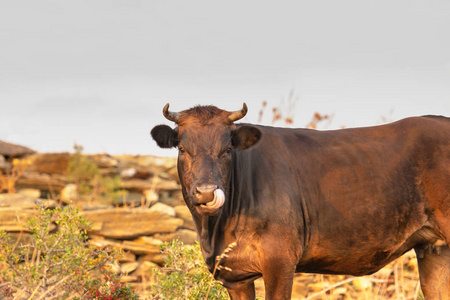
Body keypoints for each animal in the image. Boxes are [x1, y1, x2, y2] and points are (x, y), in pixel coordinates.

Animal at [152, 103, 450, 300]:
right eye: (182, 148)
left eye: (227, 149)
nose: (206, 192)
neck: (216, 232)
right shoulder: (235, 276)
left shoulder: (280, 260)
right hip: (434, 248)